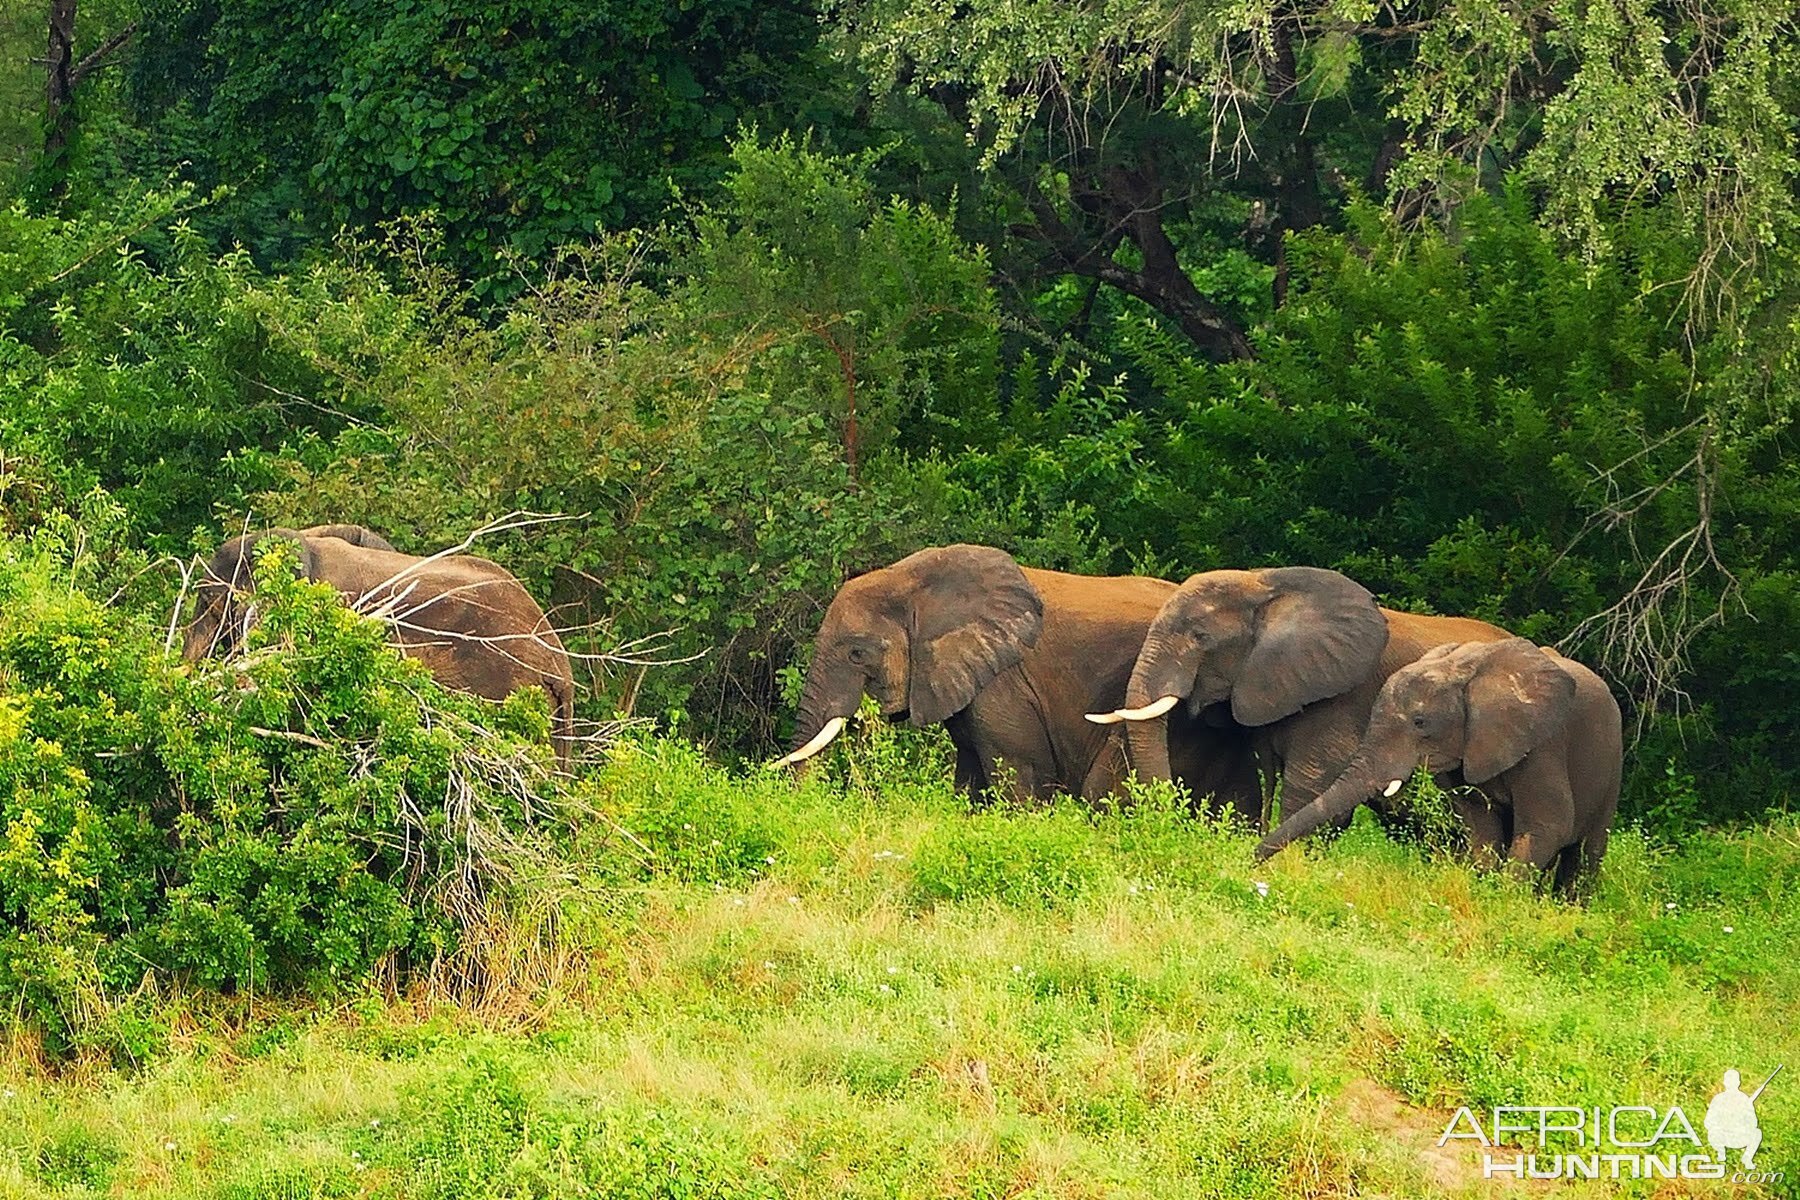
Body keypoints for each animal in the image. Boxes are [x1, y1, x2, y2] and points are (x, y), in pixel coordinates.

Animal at [1260, 636, 1627, 892]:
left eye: (1420, 722)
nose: (1254, 861)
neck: (1463, 671)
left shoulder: (1544, 745)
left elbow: (1547, 826)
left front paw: (1504, 900)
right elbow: (1480, 825)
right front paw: (1484, 888)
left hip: (1611, 767)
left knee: (1584, 855)